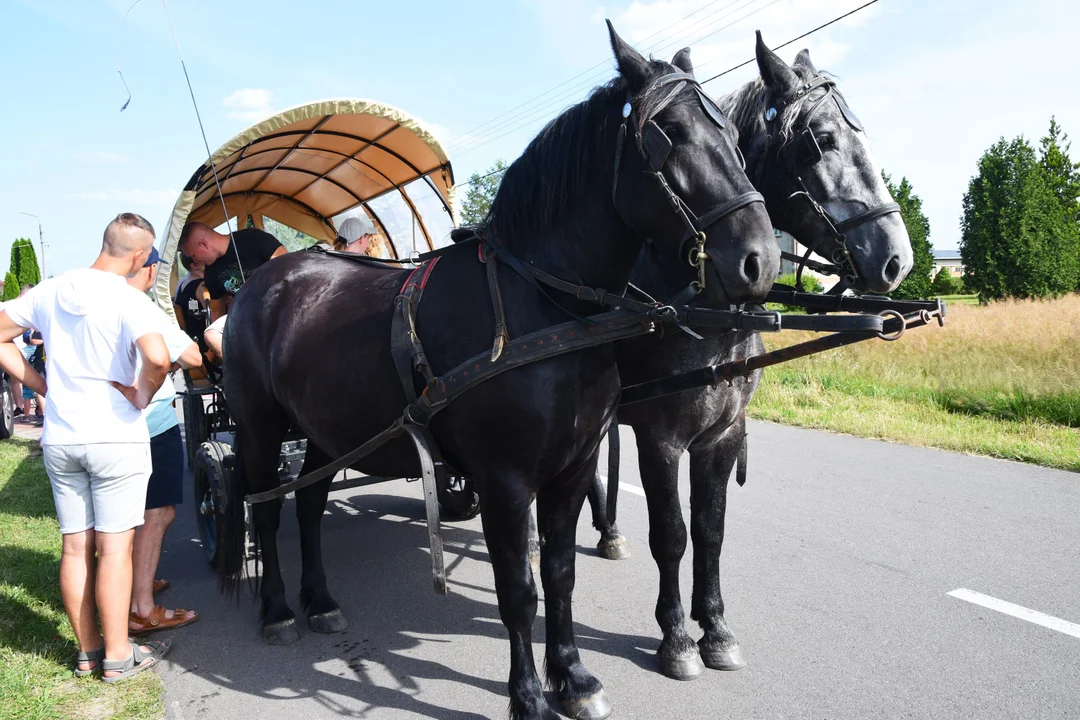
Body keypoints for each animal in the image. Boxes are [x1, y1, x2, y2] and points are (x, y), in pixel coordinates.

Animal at [217, 23, 777, 720]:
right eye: (667, 132)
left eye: (730, 131)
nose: (760, 259)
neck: (543, 304)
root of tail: (262, 278)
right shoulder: (507, 481)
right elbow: (519, 591)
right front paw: (529, 696)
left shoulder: (573, 468)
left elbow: (560, 574)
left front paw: (574, 677)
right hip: (260, 431)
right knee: (266, 512)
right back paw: (276, 611)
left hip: (326, 431)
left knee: (312, 504)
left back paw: (320, 600)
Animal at [583, 35, 911, 682]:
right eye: (821, 139)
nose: (897, 257)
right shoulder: (661, 438)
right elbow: (672, 533)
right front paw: (676, 638)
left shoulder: (724, 433)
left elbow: (710, 531)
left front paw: (715, 629)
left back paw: (607, 533)